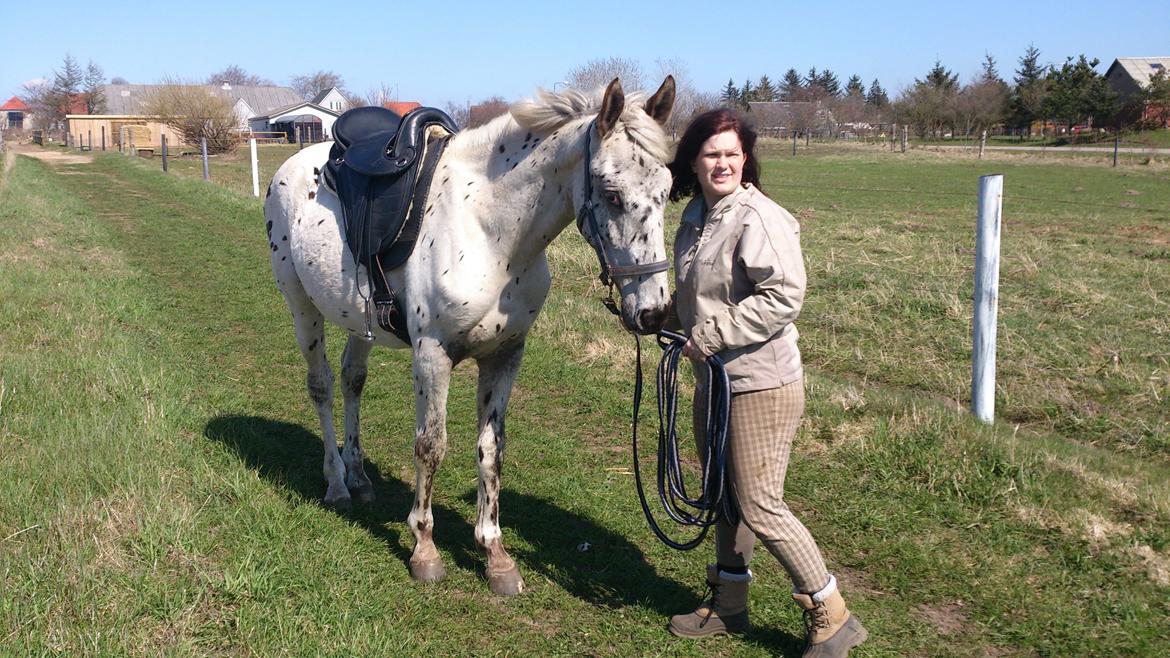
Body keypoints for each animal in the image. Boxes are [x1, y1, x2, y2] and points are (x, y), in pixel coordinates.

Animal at [259, 77, 673, 594]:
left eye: (669, 191)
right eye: (612, 195)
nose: (654, 312)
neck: (490, 229)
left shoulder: (505, 355)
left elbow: (492, 450)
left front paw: (495, 553)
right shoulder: (432, 356)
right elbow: (430, 446)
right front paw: (424, 548)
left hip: (361, 321)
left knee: (353, 381)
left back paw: (357, 476)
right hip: (302, 307)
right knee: (323, 387)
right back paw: (336, 483)